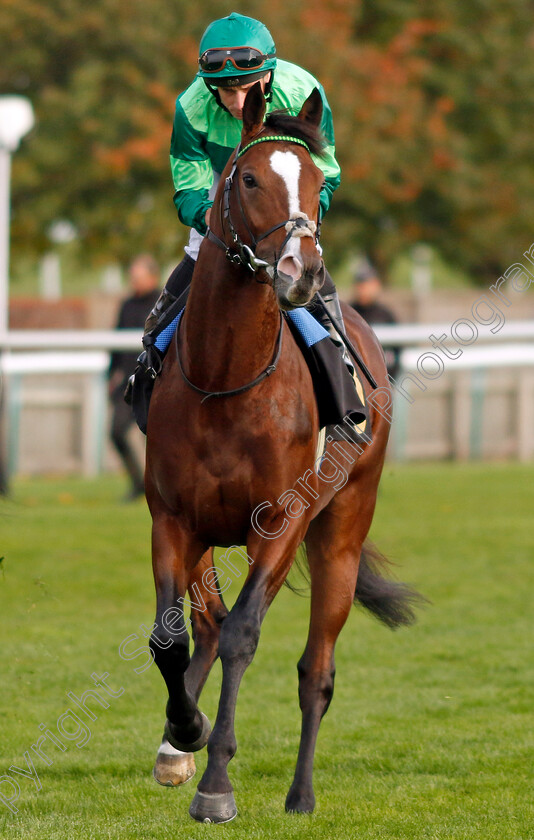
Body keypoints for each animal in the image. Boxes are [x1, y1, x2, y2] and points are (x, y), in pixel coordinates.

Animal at [146, 83, 422, 820]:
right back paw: (178, 744)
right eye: (246, 178)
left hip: (341, 530)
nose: (302, 271)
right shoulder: (173, 519)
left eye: (317, 180)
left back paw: (300, 794)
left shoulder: (280, 521)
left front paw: (217, 784)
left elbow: (246, 634)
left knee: (314, 670)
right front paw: (184, 733)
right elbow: (171, 636)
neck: (224, 379)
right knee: (206, 625)